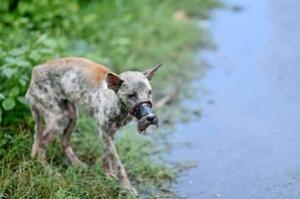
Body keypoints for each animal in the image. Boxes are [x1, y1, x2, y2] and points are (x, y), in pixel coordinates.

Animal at [25, 56, 162, 195]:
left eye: (149, 92)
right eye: (131, 95)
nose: (150, 118)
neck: (116, 103)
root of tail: (35, 70)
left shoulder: (109, 134)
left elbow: (107, 155)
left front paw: (108, 175)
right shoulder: (105, 133)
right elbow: (118, 164)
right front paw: (127, 187)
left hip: (72, 117)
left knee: (64, 143)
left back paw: (77, 164)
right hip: (59, 119)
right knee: (41, 144)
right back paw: (49, 170)